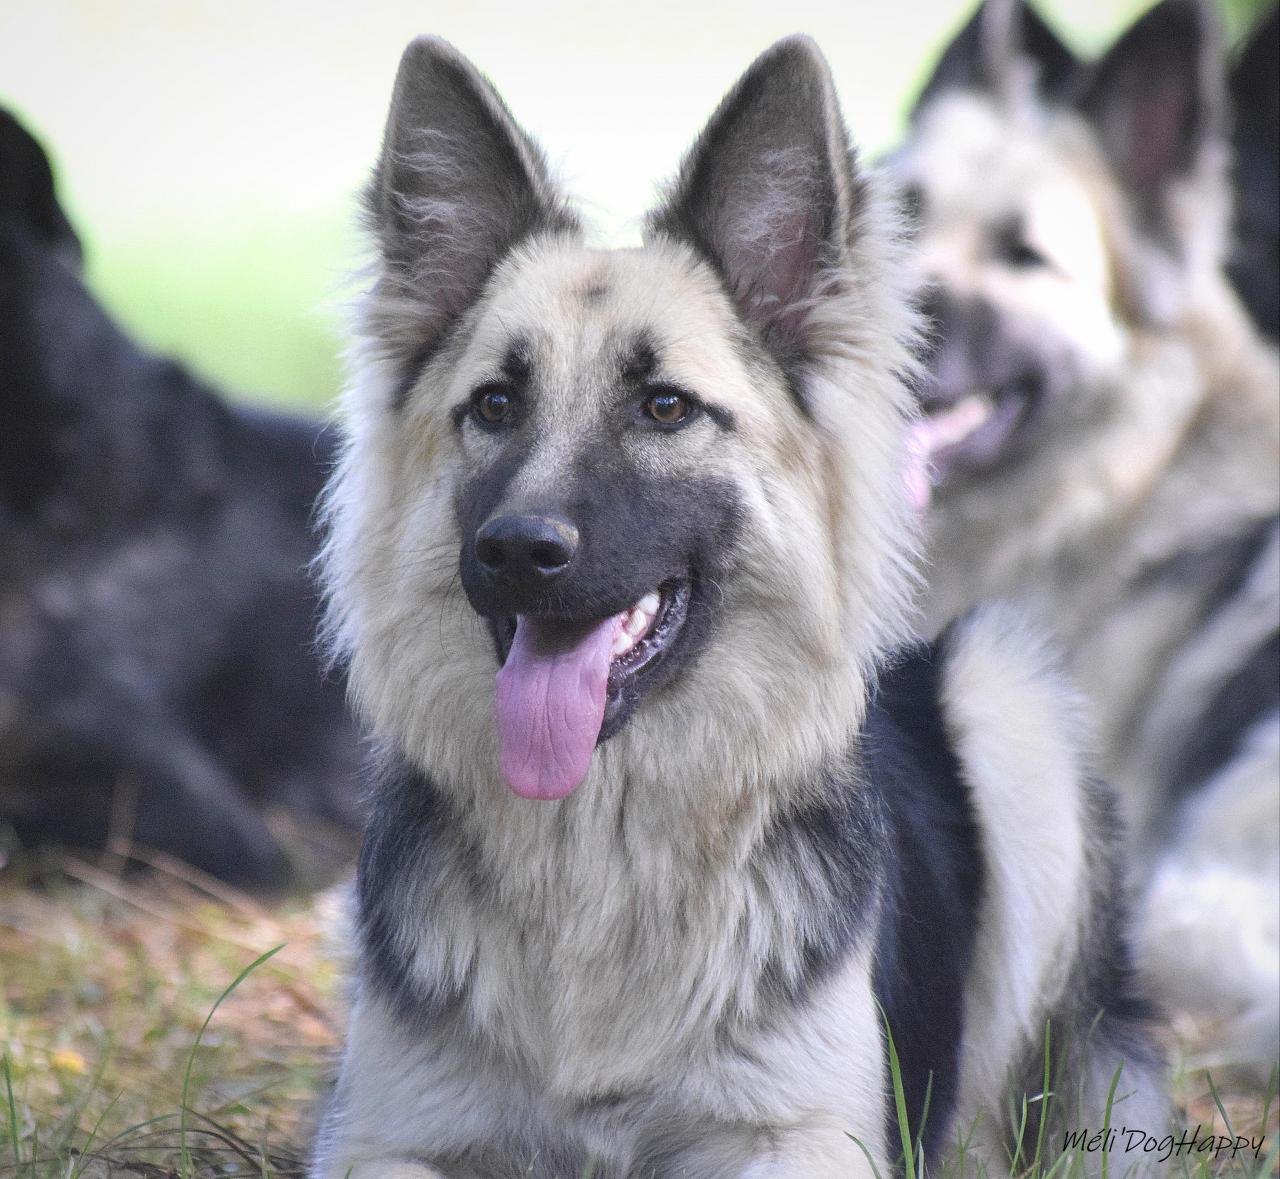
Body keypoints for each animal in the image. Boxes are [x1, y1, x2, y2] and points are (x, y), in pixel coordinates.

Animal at [312, 32, 1172, 1172]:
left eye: (665, 407)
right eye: (493, 405)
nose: (516, 552)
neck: (600, 852)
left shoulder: (803, 1135)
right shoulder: (381, 1133)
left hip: (1004, 683)